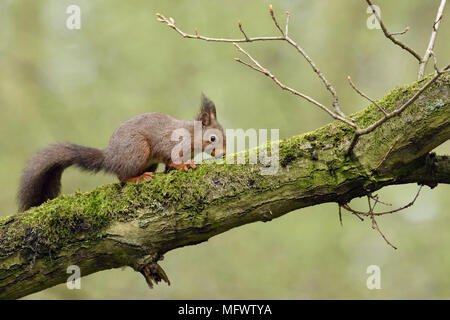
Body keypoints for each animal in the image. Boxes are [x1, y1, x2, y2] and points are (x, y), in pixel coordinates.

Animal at [17, 94, 225, 211]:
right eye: (213, 138)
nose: (222, 154)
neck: (191, 135)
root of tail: (110, 157)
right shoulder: (169, 143)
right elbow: (169, 157)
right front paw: (182, 165)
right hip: (138, 150)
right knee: (122, 177)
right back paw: (137, 178)